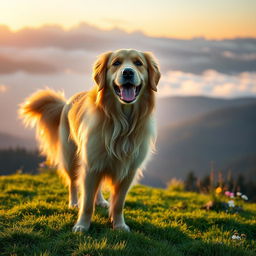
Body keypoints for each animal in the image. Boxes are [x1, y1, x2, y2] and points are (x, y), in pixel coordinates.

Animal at [19, 48, 160, 232]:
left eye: (138, 63)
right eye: (116, 63)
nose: (128, 72)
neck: (121, 122)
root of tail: (66, 102)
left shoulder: (128, 170)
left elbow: (118, 204)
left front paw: (119, 225)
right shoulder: (91, 166)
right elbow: (86, 203)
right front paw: (82, 225)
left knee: (97, 187)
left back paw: (100, 201)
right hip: (71, 158)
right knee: (72, 182)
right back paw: (73, 203)